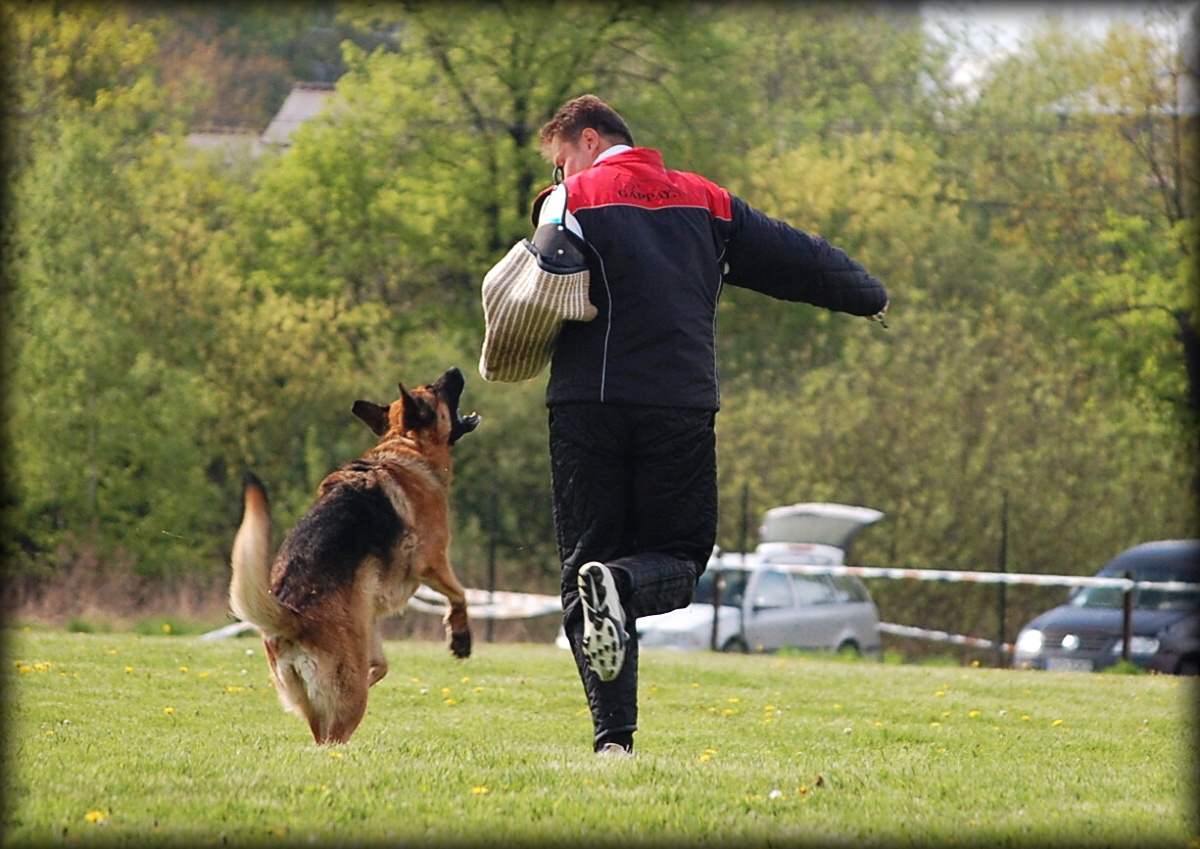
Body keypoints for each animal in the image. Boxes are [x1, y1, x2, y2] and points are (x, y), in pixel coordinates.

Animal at [230, 364, 482, 743]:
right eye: (434, 388)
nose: (455, 369)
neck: (406, 447)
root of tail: (289, 617)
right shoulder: (432, 561)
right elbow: (460, 594)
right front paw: (461, 637)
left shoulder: (368, 609)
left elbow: (383, 662)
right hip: (349, 695)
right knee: (334, 738)